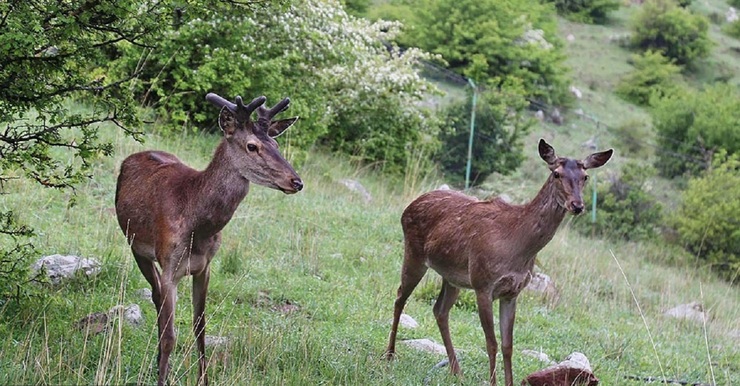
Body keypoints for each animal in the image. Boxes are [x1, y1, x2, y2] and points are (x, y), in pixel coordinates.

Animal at [114, 92, 302, 384]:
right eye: (252, 146)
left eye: (276, 143)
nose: (296, 181)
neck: (198, 225)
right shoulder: (170, 265)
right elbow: (171, 336)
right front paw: (162, 378)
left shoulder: (205, 267)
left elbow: (200, 328)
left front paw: (202, 379)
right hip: (136, 246)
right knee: (156, 297)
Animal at [384, 139, 608, 386]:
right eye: (556, 173)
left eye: (585, 176)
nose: (577, 205)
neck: (518, 247)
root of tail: (408, 207)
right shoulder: (483, 284)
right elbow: (491, 343)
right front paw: (492, 381)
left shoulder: (512, 292)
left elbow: (508, 345)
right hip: (414, 254)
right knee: (400, 297)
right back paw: (390, 354)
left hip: (452, 276)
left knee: (440, 310)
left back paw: (456, 370)